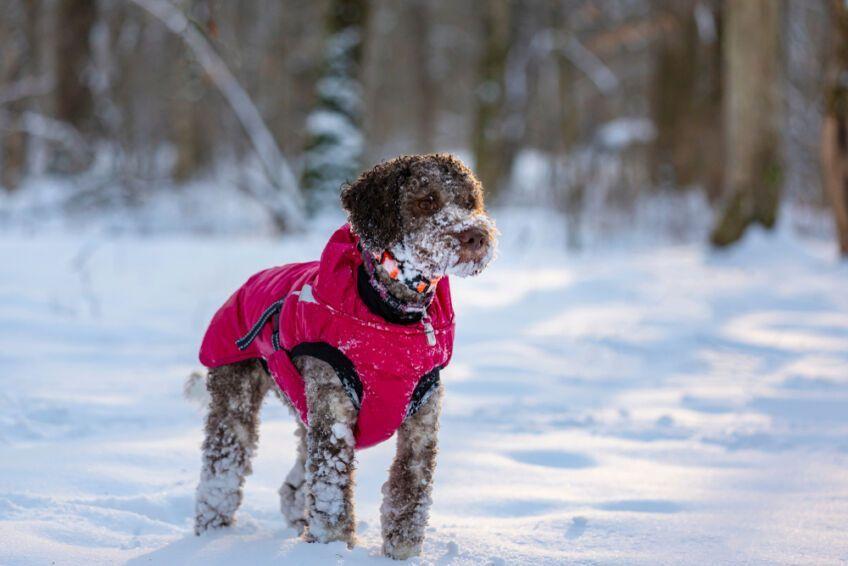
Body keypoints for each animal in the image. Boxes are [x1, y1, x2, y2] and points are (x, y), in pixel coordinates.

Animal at [192, 153, 496, 560]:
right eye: (427, 200)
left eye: (469, 201)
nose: (475, 235)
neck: (393, 316)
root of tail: (247, 283)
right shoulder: (334, 410)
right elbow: (331, 491)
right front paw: (333, 547)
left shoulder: (422, 419)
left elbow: (409, 493)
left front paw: (401, 554)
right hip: (236, 398)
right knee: (221, 471)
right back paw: (210, 534)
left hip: (303, 411)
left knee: (294, 484)